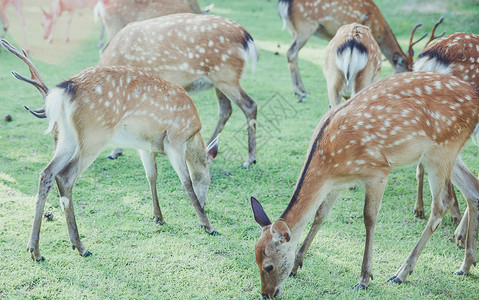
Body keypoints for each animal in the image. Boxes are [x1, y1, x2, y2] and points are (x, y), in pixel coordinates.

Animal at [0, 38, 219, 262]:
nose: (205, 203)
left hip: (66, 137)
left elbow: (151, 176)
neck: (193, 134)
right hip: (95, 134)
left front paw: (158, 217)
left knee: (46, 173)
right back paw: (80, 246)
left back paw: (35, 250)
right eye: (209, 179)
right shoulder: (175, 140)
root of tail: (65, 90)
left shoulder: (146, 146)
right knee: (65, 176)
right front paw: (207, 225)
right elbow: (186, 181)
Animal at [98, 12, 260, 169]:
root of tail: (246, 35)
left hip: (226, 75)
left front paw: (116, 152)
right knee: (226, 109)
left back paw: (249, 160)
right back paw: (209, 148)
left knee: (250, 105)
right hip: (219, 81)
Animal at [249, 71, 479, 298]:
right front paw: (297, 264)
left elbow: (369, 218)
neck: (329, 163)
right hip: (445, 151)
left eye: (268, 266)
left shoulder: (378, 171)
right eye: (255, 259)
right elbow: (320, 215)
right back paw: (465, 266)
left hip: (442, 147)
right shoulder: (336, 184)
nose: (266, 293)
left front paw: (364, 278)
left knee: (442, 203)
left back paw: (401, 273)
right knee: (473, 189)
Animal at [278, 0, 420, 101]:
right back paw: (298, 91)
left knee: (294, 53)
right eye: (406, 71)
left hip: (293, 30)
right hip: (305, 26)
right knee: (291, 52)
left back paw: (303, 90)